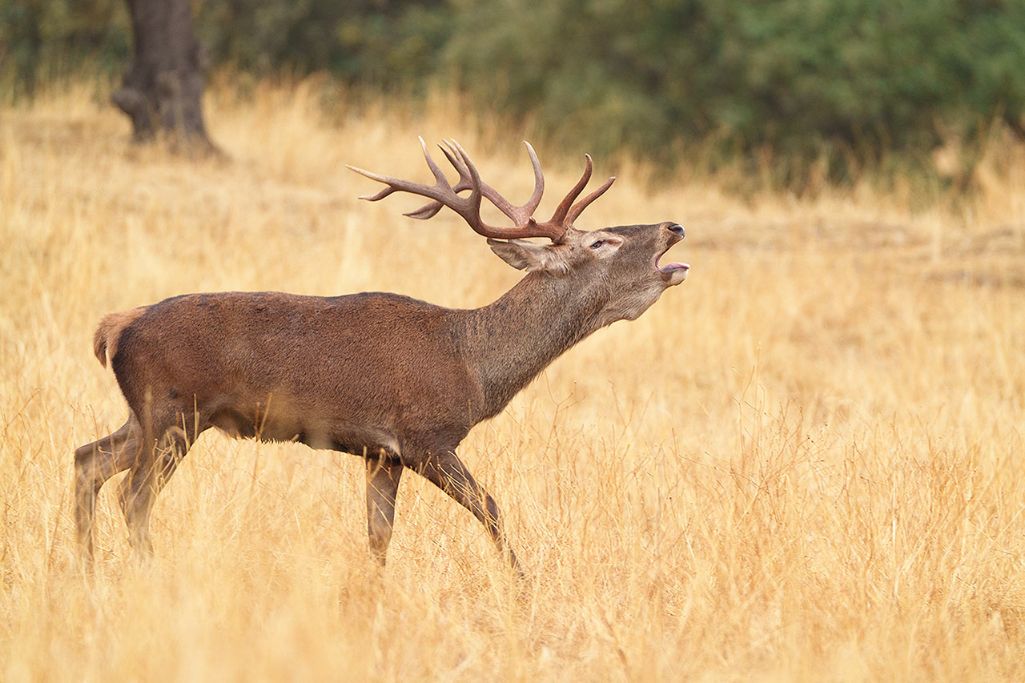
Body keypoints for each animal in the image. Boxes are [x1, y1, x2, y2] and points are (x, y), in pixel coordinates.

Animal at [74, 138, 689, 570]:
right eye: (602, 241)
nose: (674, 225)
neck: (474, 364)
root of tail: (115, 327)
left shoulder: (380, 453)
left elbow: (378, 537)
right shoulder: (424, 437)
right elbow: (491, 509)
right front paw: (522, 585)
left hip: (147, 415)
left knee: (87, 460)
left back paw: (85, 569)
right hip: (176, 410)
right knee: (133, 497)